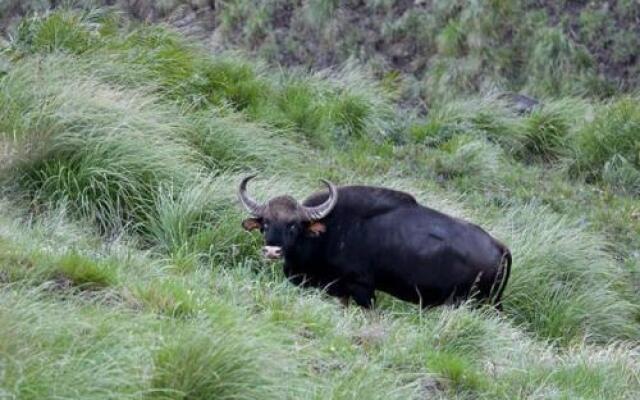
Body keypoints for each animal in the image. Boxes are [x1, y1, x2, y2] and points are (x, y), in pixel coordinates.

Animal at [238, 180, 512, 310]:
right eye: (265, 224)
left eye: (293, 225)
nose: (272, 251)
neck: (331, 229)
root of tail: (499, 246)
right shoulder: (343, 291)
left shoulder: (362, 289)